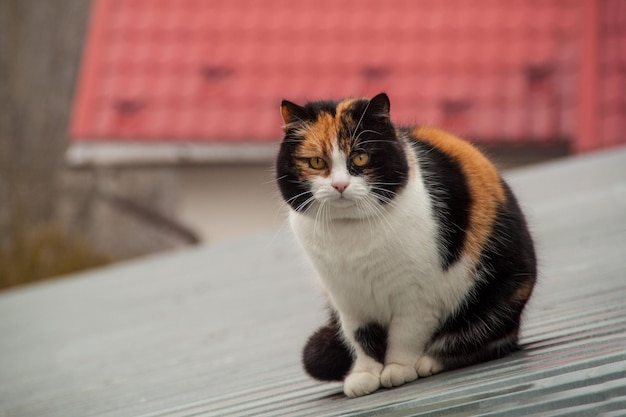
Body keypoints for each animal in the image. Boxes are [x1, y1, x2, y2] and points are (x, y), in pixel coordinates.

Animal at [276, 92, 532, 394]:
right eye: (316, 162)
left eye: (360, 157)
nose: (340, 186)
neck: (350, 238)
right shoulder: (347, 300)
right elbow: (360, 337)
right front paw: (364, 374)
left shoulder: (416, 297)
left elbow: (405, 335)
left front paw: (397, 368)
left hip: (497, 295)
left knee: (481, 337)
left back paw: (430, 361)